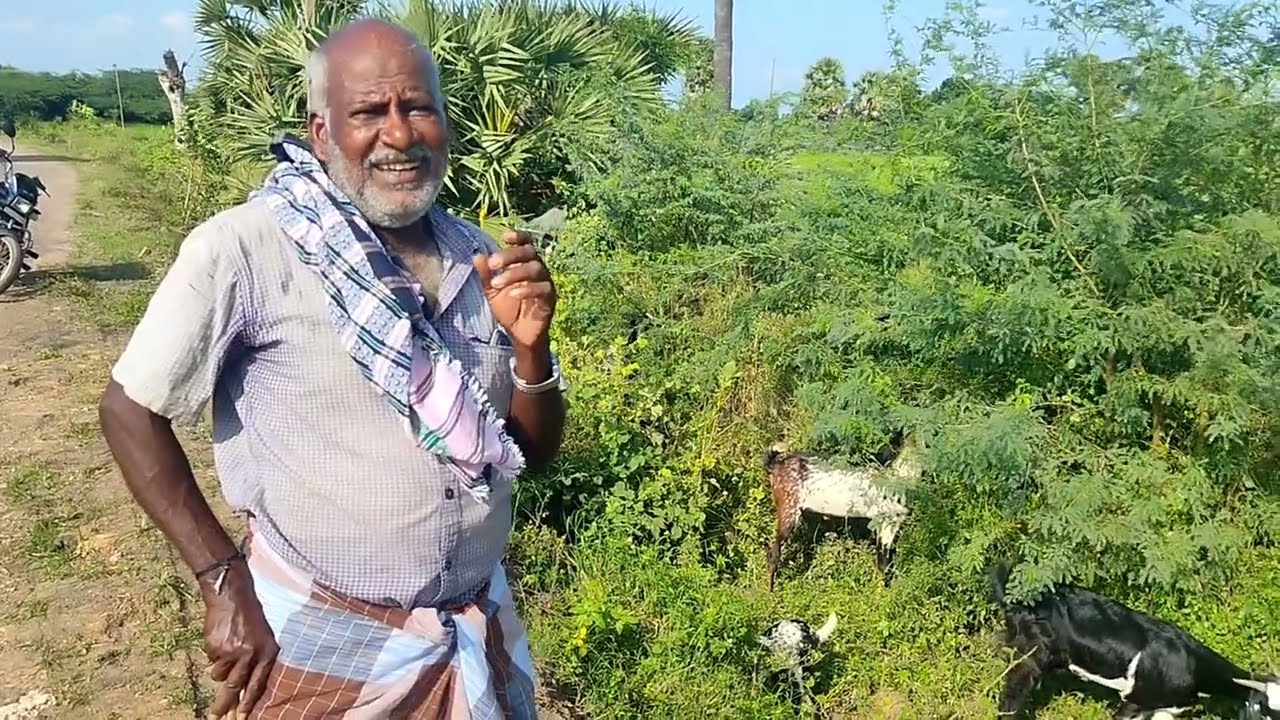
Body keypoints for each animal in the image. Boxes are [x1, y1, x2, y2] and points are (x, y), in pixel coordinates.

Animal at [764, 435, 923, 591]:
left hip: (809, 516)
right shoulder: (883, 520)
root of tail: (776, 465)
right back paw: (771, 592)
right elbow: (882, 561)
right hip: (788, 510)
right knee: (774, 553)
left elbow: (884, 560)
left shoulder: (892, 524)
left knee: (806, 549)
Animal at [990, 563, 1280, 720]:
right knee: (1012, 696)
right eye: (1267, 710)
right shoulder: (1136, 699)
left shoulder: (1166, 708)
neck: (1191, 664)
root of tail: (1020, 599)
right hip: (1031, 656)